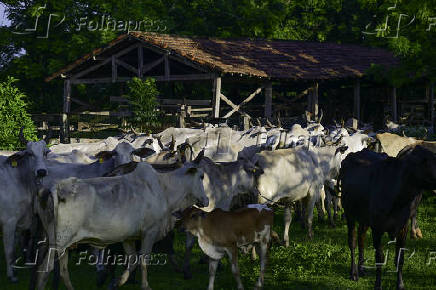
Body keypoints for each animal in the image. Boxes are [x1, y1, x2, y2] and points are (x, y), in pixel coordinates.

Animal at [340, 147, 436, 290]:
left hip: (364, 219)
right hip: (349, 213)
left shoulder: (403, 227)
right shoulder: (377, 228)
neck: (398, 201)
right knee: (352, 241)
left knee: (361, 239)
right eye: (424, 162)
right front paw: (378, 285)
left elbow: (400, 258)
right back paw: (354, 273)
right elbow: (379, 258)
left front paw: (400, 284)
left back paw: (362, 268)